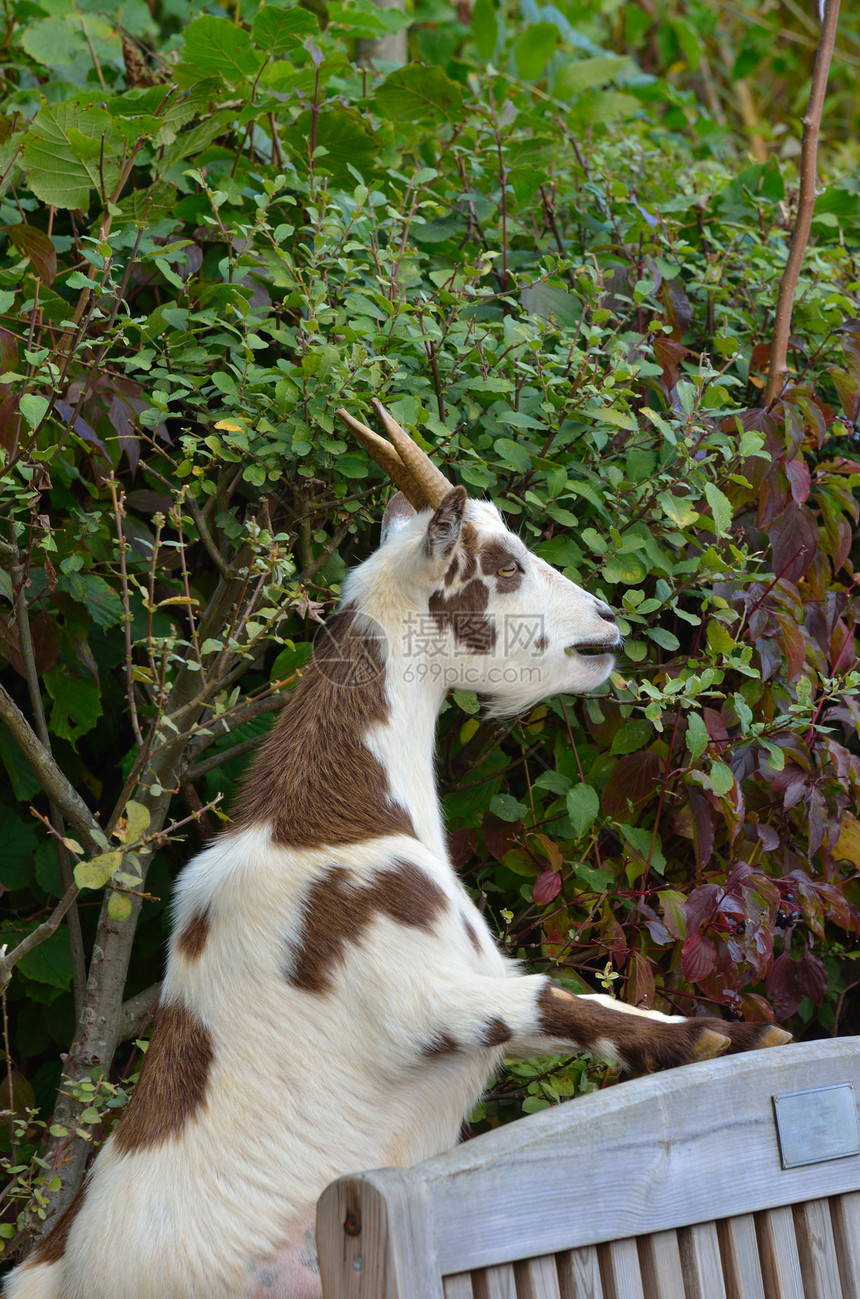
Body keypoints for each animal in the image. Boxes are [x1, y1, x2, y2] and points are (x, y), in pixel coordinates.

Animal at [6, 400, 789, 1293]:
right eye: (506, 562)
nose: (607, 625)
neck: (332, 824)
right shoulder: (412, 998)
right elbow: (556, 999)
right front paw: (732, 1036)